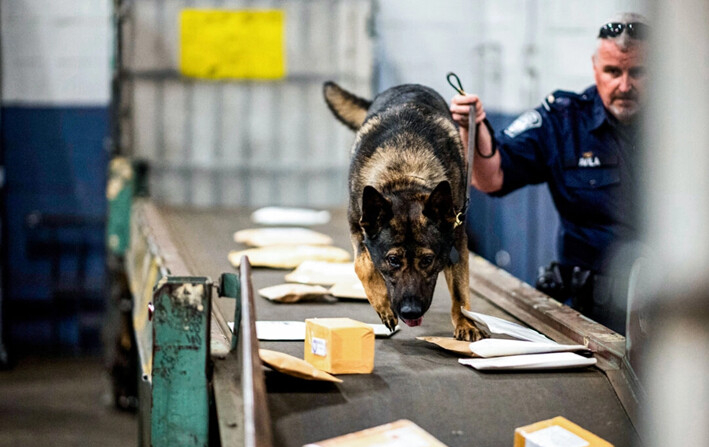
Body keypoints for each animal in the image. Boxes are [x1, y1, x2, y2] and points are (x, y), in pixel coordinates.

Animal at [324, 82, 482, 342]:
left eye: (427, 260)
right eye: (393, 260)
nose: (411, 311)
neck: (404, 174)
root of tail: (409, 85)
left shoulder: (458, 240)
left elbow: (460, 292)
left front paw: (466, 323)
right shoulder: (357, 228)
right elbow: (363, 266)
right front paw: (384, 306)